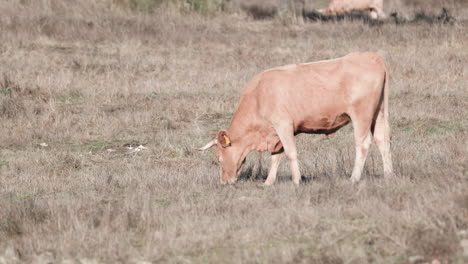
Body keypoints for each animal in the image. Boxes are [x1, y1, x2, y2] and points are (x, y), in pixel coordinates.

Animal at [199, 52, 394, 186]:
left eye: (219, 157)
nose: (224, 181)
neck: (259, 95)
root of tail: (372, 56)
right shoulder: (276, 133)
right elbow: (276, 157)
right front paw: (268, 182)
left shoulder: (283, 125)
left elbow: (290, 153)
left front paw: (296, 180)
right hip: (379, 113)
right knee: (382, 140)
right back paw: (388, 174)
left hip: (361, 115)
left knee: (363, 144)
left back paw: (354, 178)